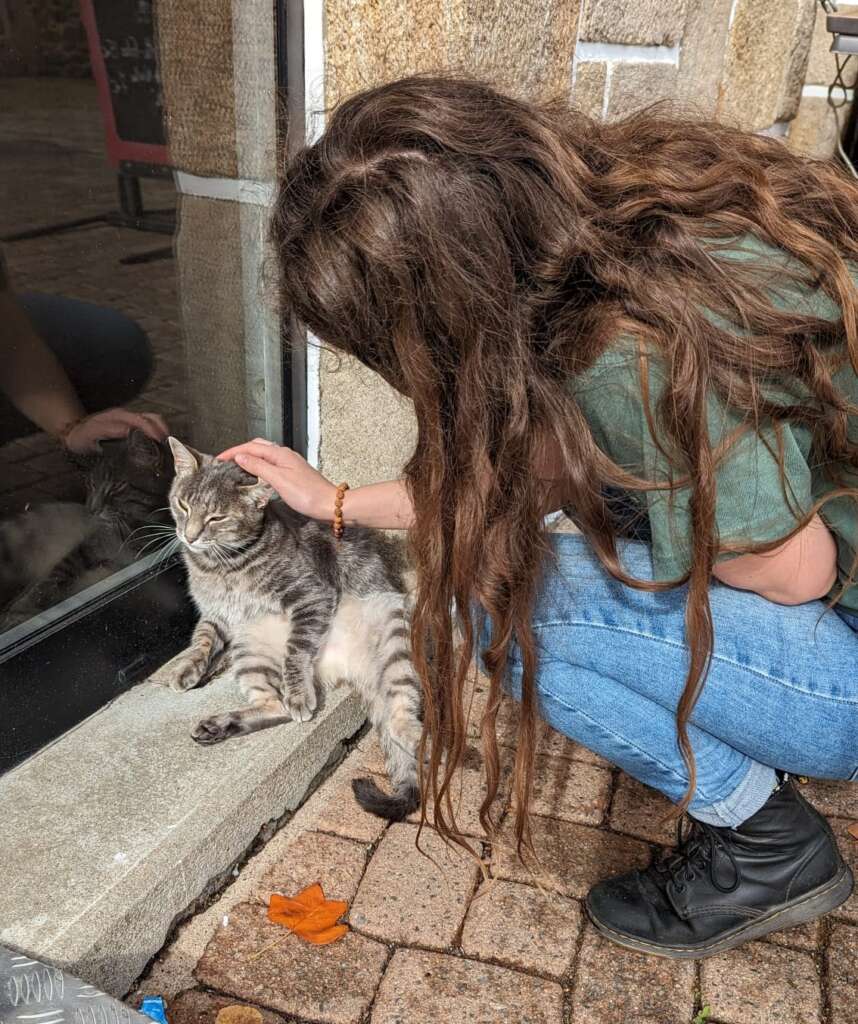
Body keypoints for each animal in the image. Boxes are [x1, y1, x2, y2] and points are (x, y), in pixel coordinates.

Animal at [160, 436, 423, 819]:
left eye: (216, 517)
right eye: (182, 504)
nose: (189, 536)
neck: (220, 566)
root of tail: (350, 669)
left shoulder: (311, 596)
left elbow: (296, 650)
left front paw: (298, 691)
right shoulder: (218, 616)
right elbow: (202, 640)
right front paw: (187, 667)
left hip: (395, 634)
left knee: (399, 711)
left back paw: (414, 734)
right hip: (249, 649)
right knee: (274, 706)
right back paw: (217, 725)